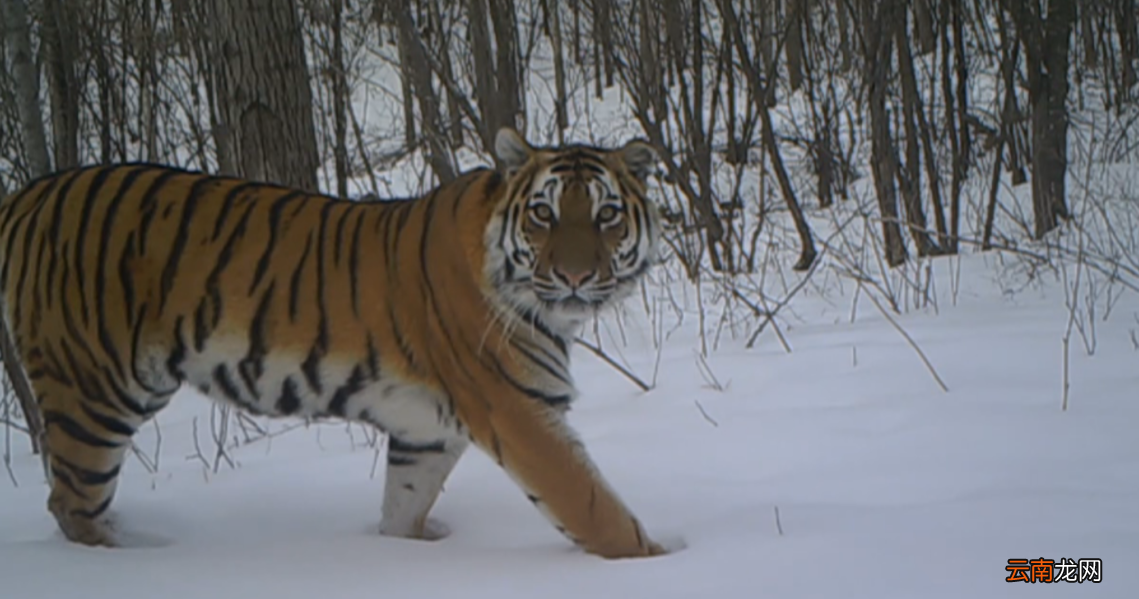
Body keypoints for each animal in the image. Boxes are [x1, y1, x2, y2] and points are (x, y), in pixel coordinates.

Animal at [0, 127, 670, 559]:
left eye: (607, 215)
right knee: (71, 503)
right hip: (95, 392)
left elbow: (403, 505)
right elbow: (597, 509)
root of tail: (30, 192)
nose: (575, 277)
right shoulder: (520, 412)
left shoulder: (426, 432)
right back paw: (131, 558)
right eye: (544, 214)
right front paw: (658, 560)